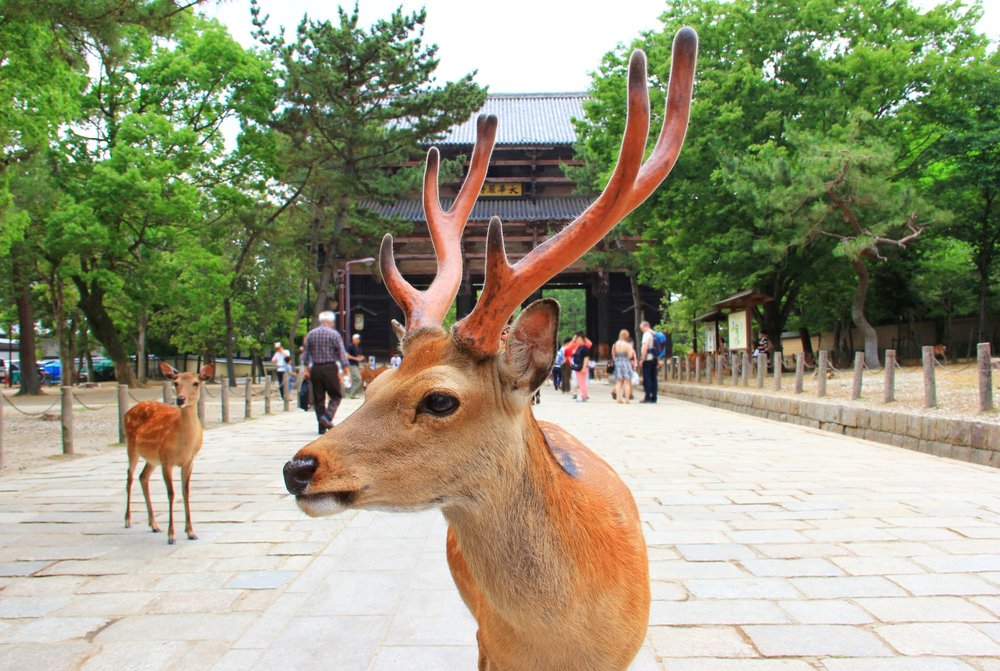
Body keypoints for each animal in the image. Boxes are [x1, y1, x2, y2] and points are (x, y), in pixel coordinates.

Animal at [125, 362, 214, 544]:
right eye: (176, 382)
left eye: (196, 383)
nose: (180, 399)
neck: (185, 444)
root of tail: (127, 412)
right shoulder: (167, 461)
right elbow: (171, 494)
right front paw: (171, 535)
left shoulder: (189, 462)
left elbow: (185, 492)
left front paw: (191, 532)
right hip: (131, 445)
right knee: (129, 477)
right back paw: (128, 520)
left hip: (152, 458)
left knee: (143, 477)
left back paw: (154, 525)